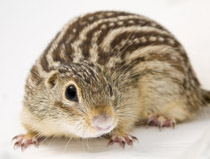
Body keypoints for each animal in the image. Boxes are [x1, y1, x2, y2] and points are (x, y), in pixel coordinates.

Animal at [12, 10, 210, 150]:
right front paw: (26, 137)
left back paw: (161, 118)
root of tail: (195, 87)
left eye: (110, 88)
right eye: (70, 92)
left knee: (186, 110)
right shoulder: (31, 107)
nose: (104, 121)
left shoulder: (130, 97)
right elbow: (28, 124)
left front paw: (120, 134)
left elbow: (127, 118)